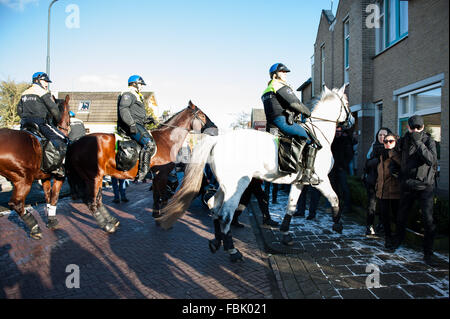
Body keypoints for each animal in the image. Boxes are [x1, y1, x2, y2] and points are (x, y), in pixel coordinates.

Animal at [0, 95, 71, 240]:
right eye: (69, 113)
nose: (69, 127)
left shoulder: (44, 177)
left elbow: (48, 196)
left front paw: (49, 218)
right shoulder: (59, 177)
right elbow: (54, 197)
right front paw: (52, 220)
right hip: (23, 180)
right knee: (16, 204)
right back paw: (35, 228)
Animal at [66, 101, 210, 234]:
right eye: (202, 115)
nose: (214, 127)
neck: (167, 139)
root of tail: (75, 144)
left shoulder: (156, 176)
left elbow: (156, 196)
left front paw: (156, 215)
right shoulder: (162, 175)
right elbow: (163, 197)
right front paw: (163, 219)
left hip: (94, 178)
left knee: (97, 200)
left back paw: (111, 221)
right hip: (94, 178)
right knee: (92, 203)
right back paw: (107, 226)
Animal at [156, 85, 354, 262]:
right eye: (346, 101)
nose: (351, 121)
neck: (319, 136)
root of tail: (218, 140)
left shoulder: (299, 183)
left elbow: (291, 207)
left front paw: (285, 234)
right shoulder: (321, 180)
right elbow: (335, 198)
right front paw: (338, 224)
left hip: (225, 186)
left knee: (213, 205)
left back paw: (216, 242)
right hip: (237, 187)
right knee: (226, 214)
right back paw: (233, 251)